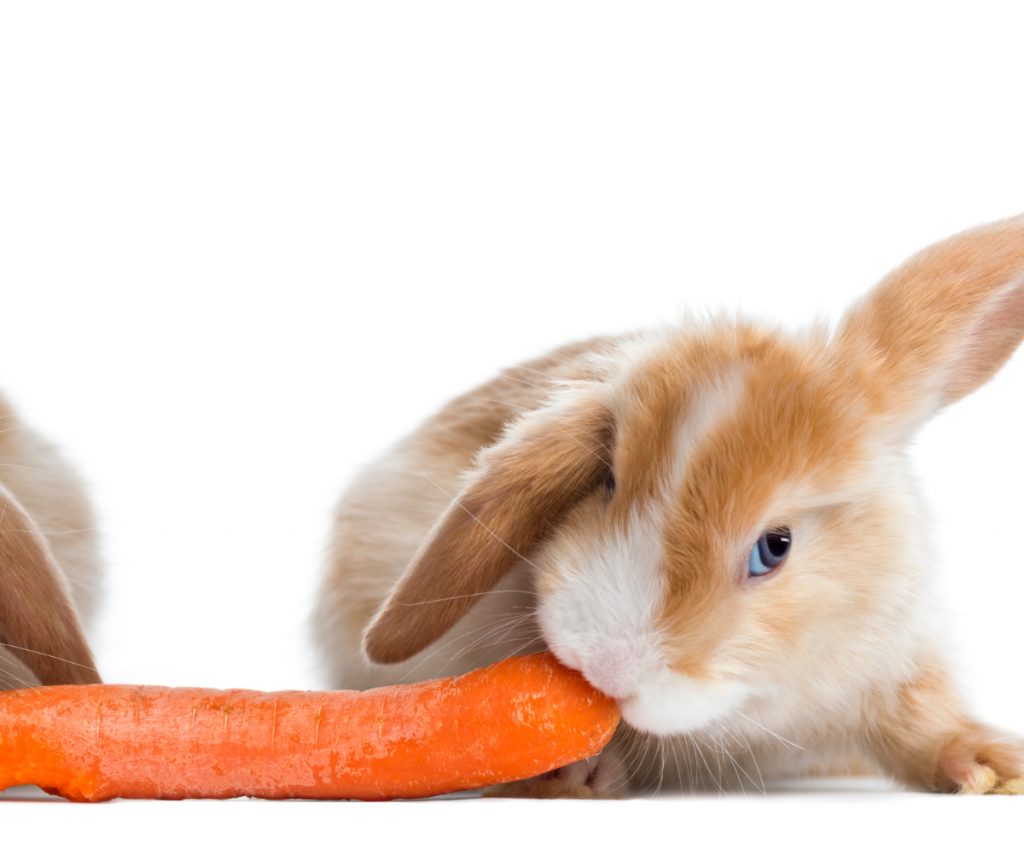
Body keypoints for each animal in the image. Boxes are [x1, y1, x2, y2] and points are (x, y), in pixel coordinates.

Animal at [313, 214, 1024, 797]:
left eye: (775, 547)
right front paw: (572, 774)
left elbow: (922, 727)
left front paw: (988, 765)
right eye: (606, 482)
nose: (607, 665)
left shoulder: (890, 669)